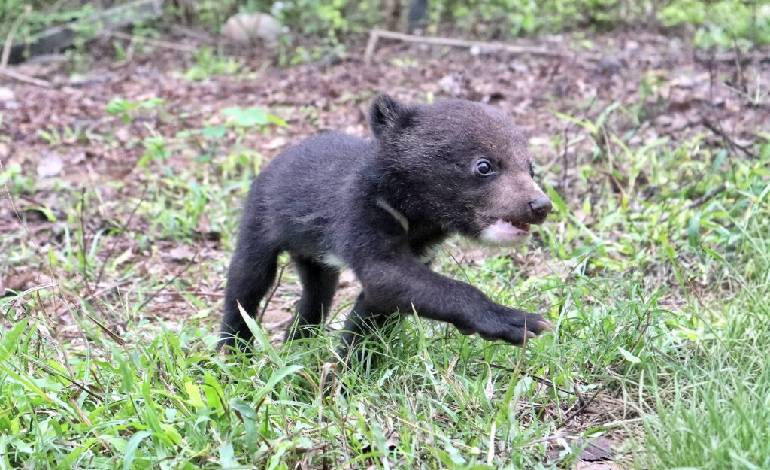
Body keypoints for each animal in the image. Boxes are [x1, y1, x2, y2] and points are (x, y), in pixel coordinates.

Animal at [218, 94, 553, 357]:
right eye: (484, 166)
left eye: (530, 168)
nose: (540, 205)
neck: (416, 216)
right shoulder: (362, 213)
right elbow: (386, 276)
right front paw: (518, 321)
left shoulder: (422, 246)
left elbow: (381, 299)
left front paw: (352, 360)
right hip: (262, 218)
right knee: (247, 279)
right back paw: (234, 348)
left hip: (313, 252)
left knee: (318, 292)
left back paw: (298, 339)